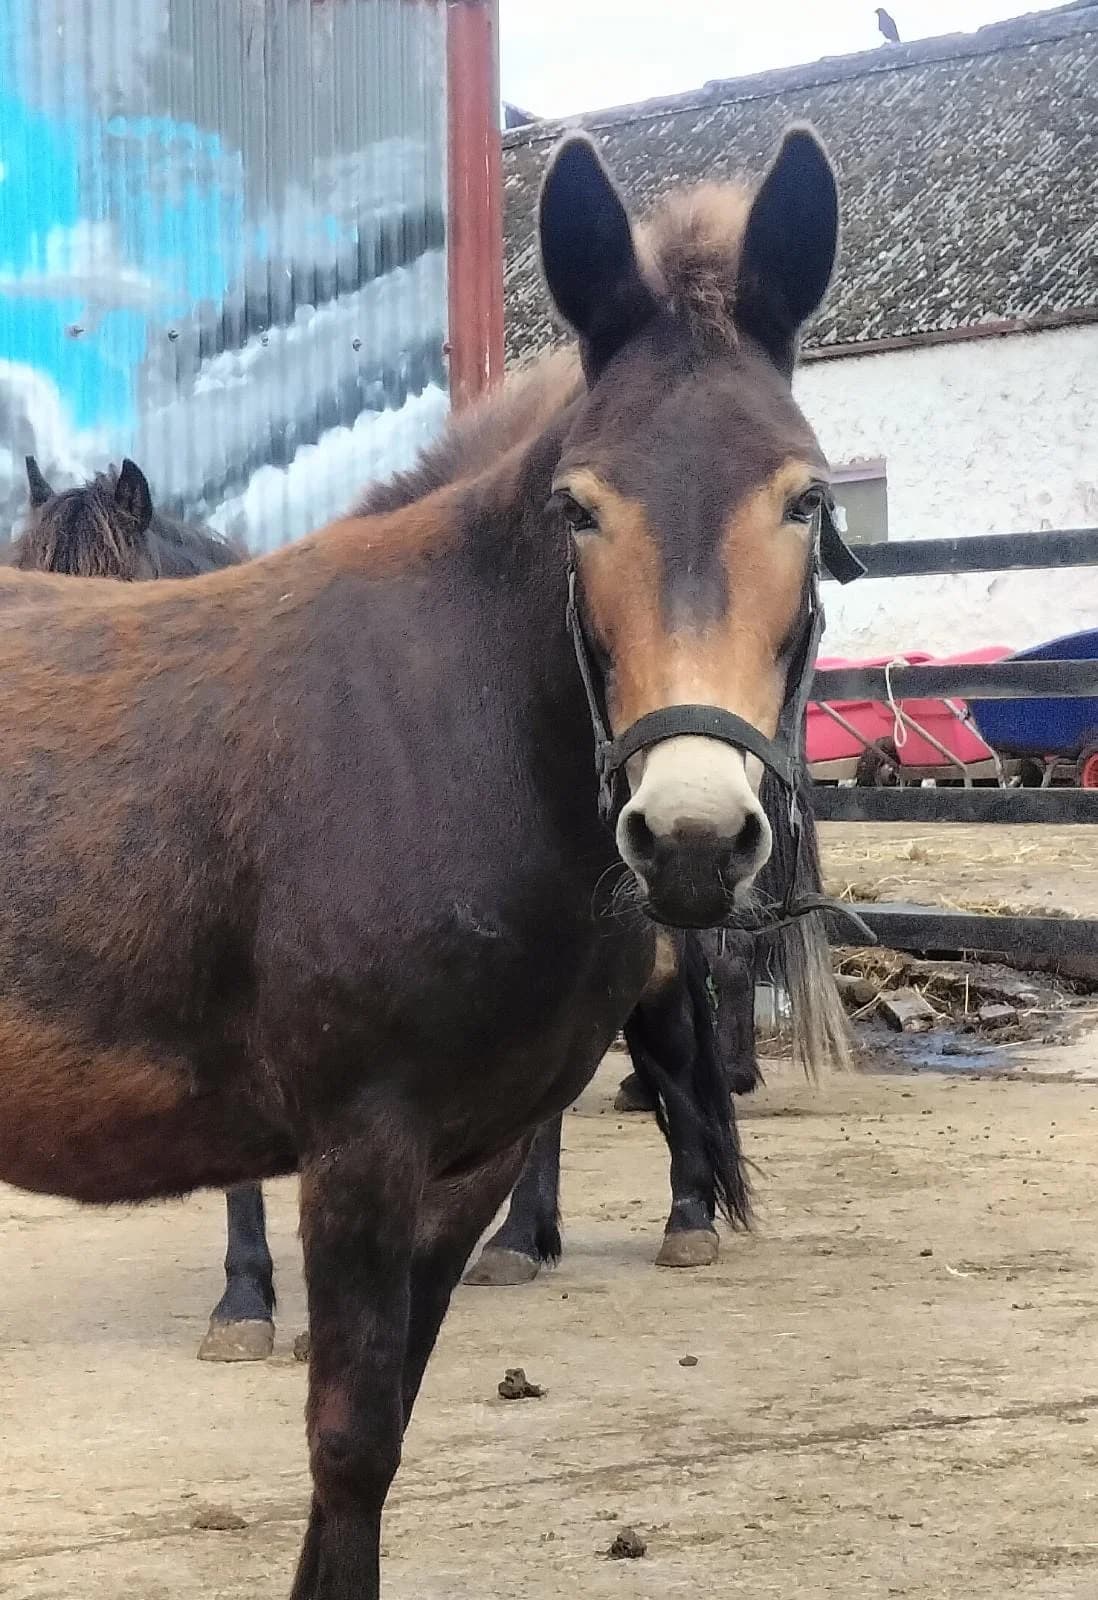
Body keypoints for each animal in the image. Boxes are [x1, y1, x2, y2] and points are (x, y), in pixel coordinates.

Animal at [0, 126, 851, 1597]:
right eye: (578, 508)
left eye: (805, 500)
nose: (690, 834)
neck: (444, 726)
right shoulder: (356, 1145)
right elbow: (346, 1443)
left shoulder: (470, 1157)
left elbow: (384, 1431)